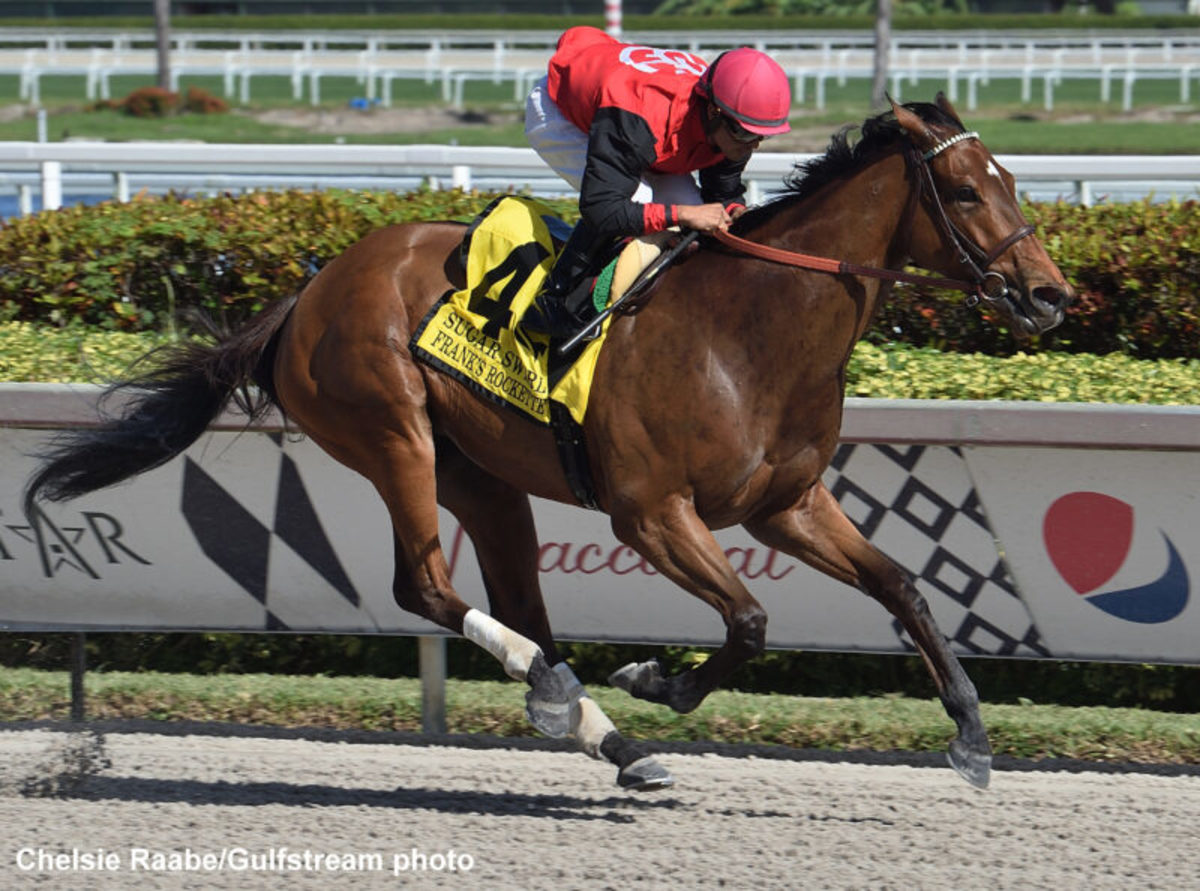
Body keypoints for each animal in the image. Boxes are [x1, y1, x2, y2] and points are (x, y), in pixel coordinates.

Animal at [23, 96, 1075, 797]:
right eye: (966, 191)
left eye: (1012, 180)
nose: (1050, 294)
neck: (751, 332)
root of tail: (310, 290)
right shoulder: (652, 513)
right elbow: (748, 621)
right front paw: (656, 677)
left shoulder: (786, 505)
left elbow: (903, 585)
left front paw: (972, 736)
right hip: (394, 433)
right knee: (427, 585)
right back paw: (567, 693)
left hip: (483, 476)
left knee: (517, 599)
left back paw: (594, 726)